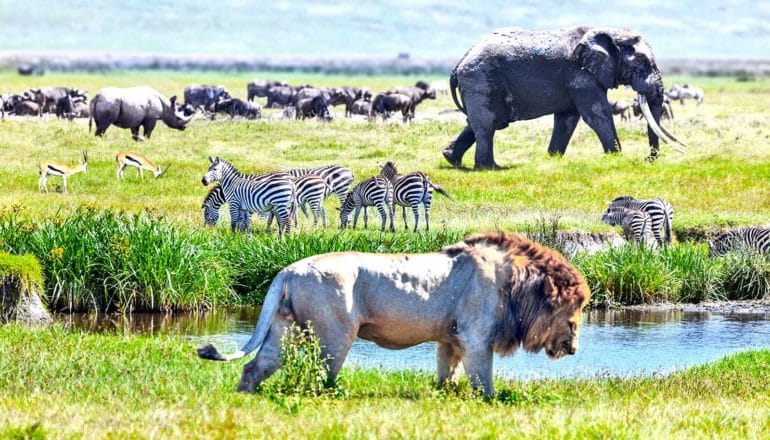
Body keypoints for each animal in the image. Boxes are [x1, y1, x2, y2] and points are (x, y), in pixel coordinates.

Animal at [196, 232, 588, 394]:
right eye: (574, 314)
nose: (574, 349)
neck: (516, 284)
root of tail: (287, 271)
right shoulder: (476, 336)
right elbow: (484, 380)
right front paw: (489, 402)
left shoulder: (451, 338)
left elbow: (447, 374)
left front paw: (444, 396)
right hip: (335, 334)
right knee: (321, 377)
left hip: (285, 327)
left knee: (255, 365)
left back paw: (245, 395)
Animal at [440, 25, 688, 169]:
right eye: (642, 63)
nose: (649, 159)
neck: (606, 31)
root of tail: (457, 65)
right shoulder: (580, 74)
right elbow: (597, 114)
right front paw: (617, 158)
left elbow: (567, 119)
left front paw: (553, 159)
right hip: (480, 79)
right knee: (487, 124)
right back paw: (489, 168)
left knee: (483, 122)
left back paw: (452, 160)